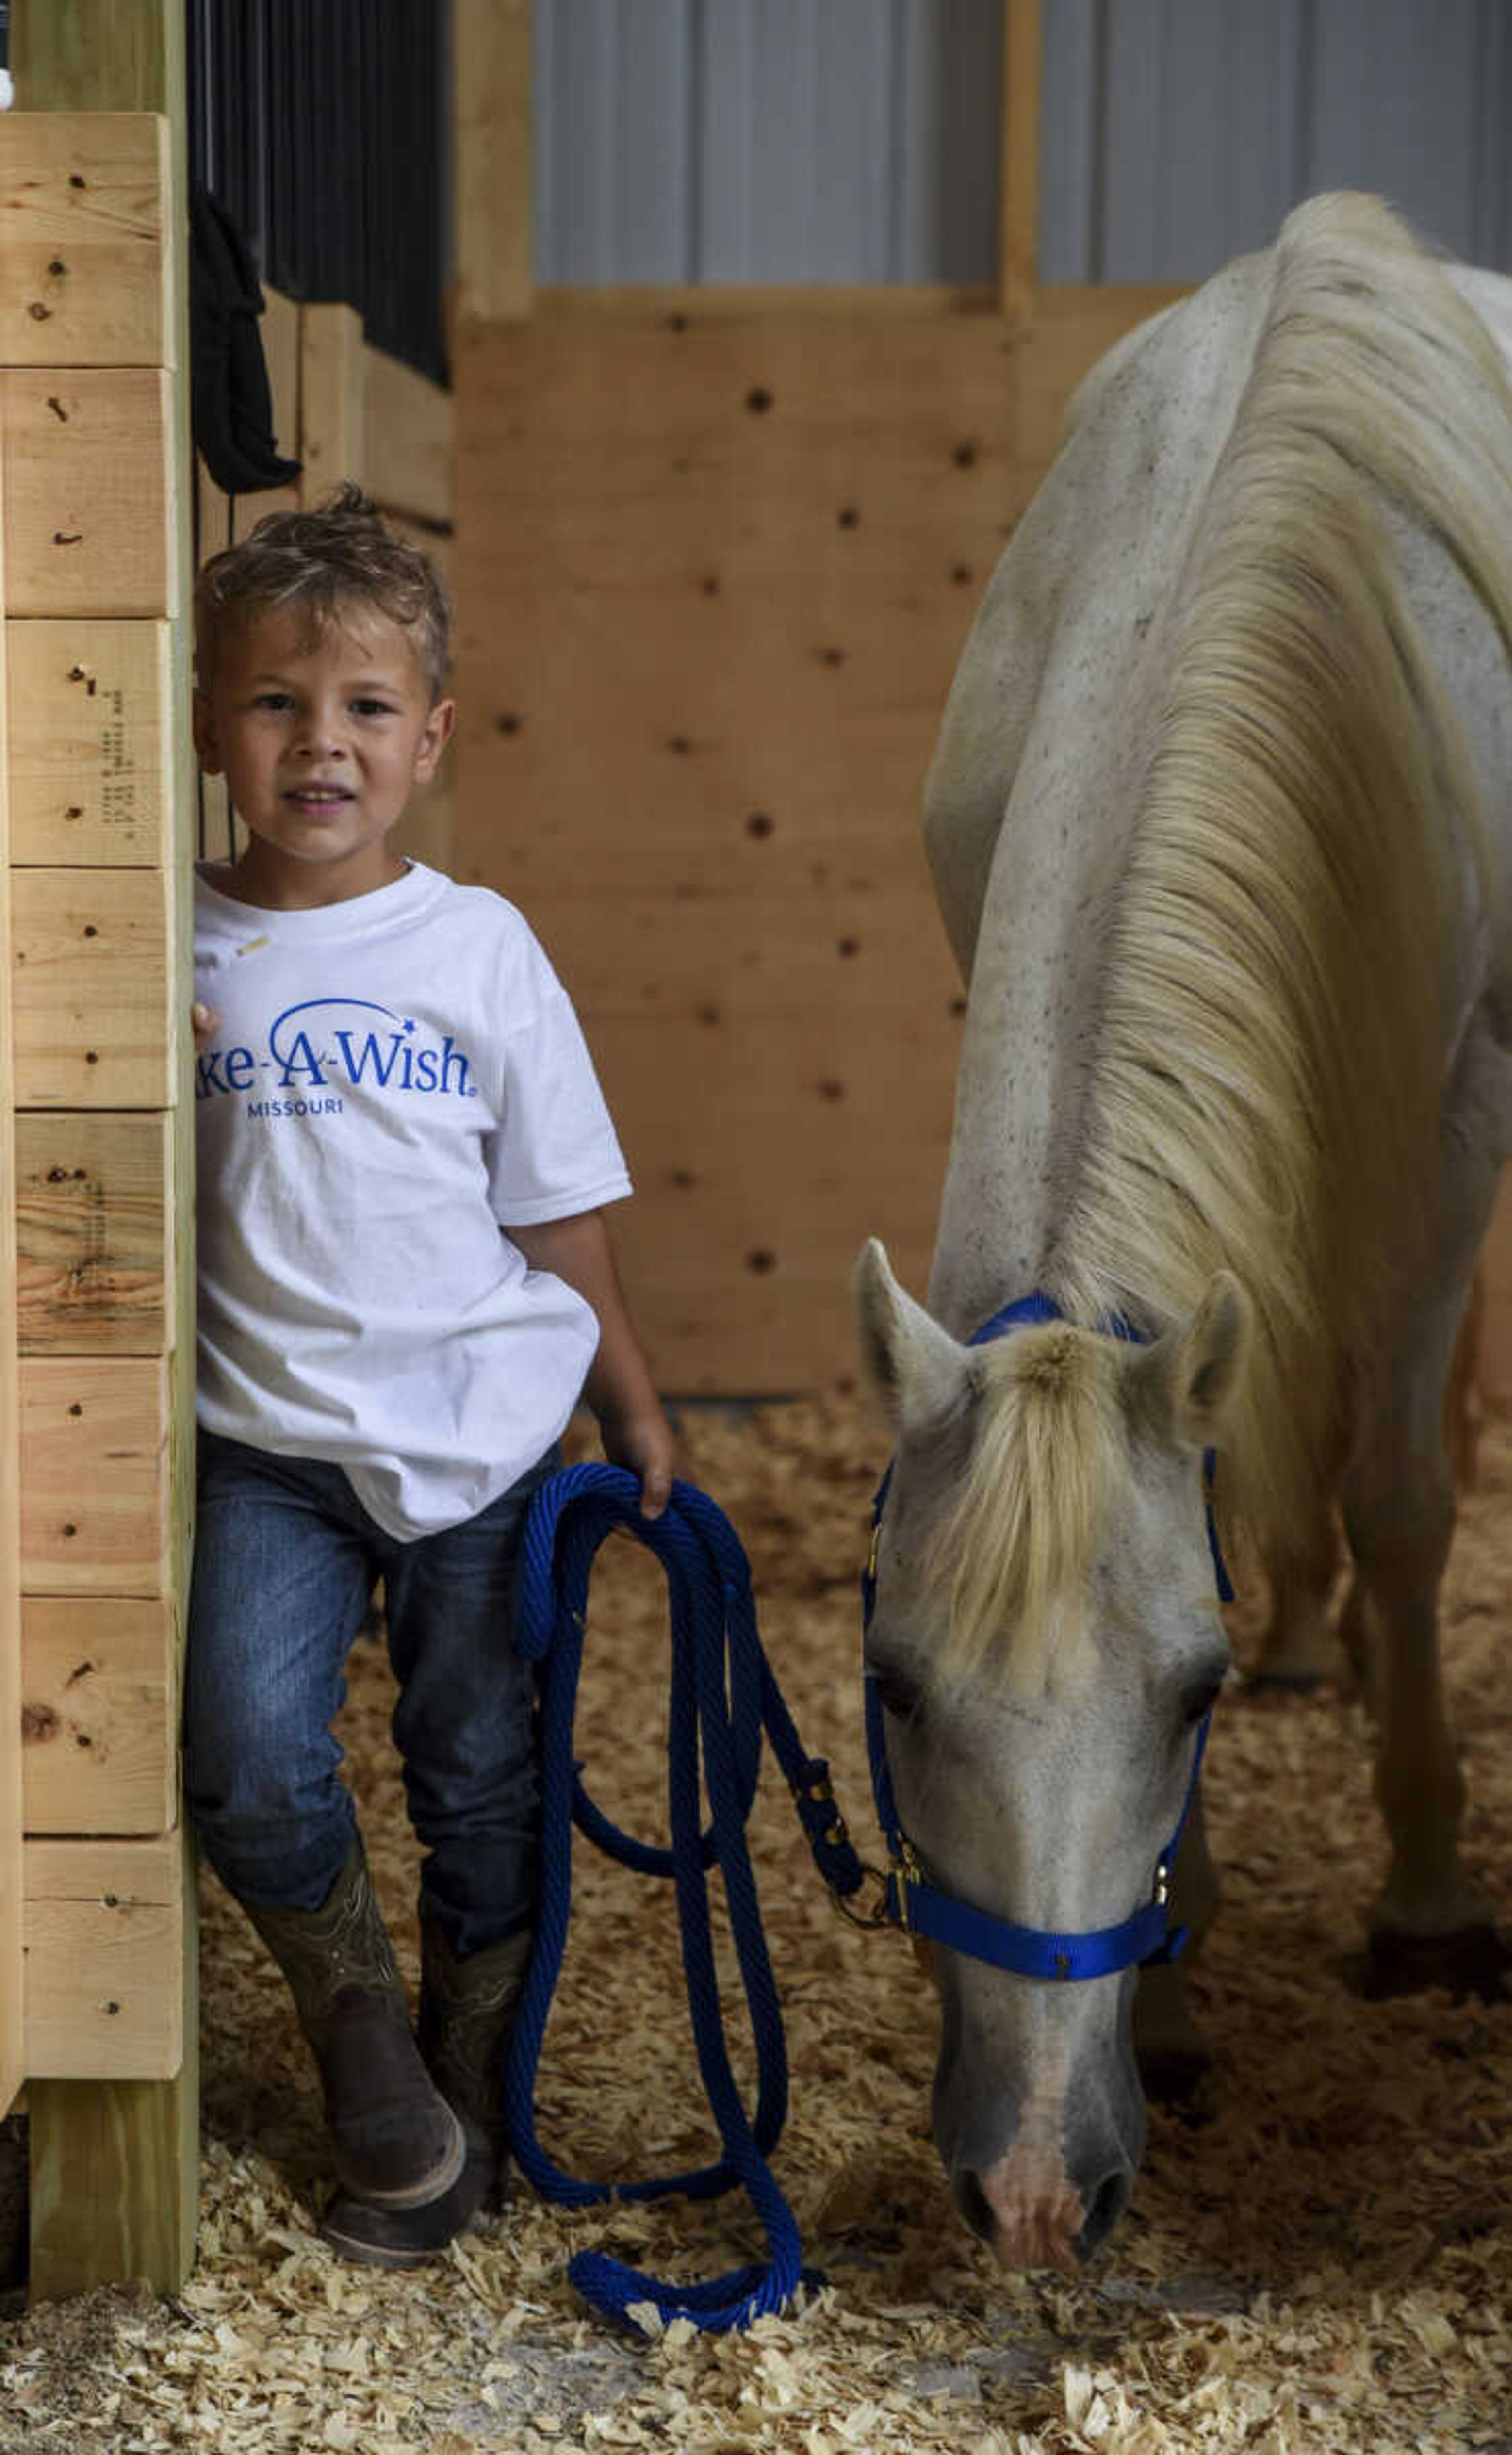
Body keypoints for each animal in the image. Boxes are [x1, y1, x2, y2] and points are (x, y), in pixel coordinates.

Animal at [854, 196, 1512, 2278]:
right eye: (897, 1685)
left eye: (1192, 1696)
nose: (1035, 2185)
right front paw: (1189, 1990)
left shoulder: (1450, 1129)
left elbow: (1401, 1489)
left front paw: (1426, 1894)